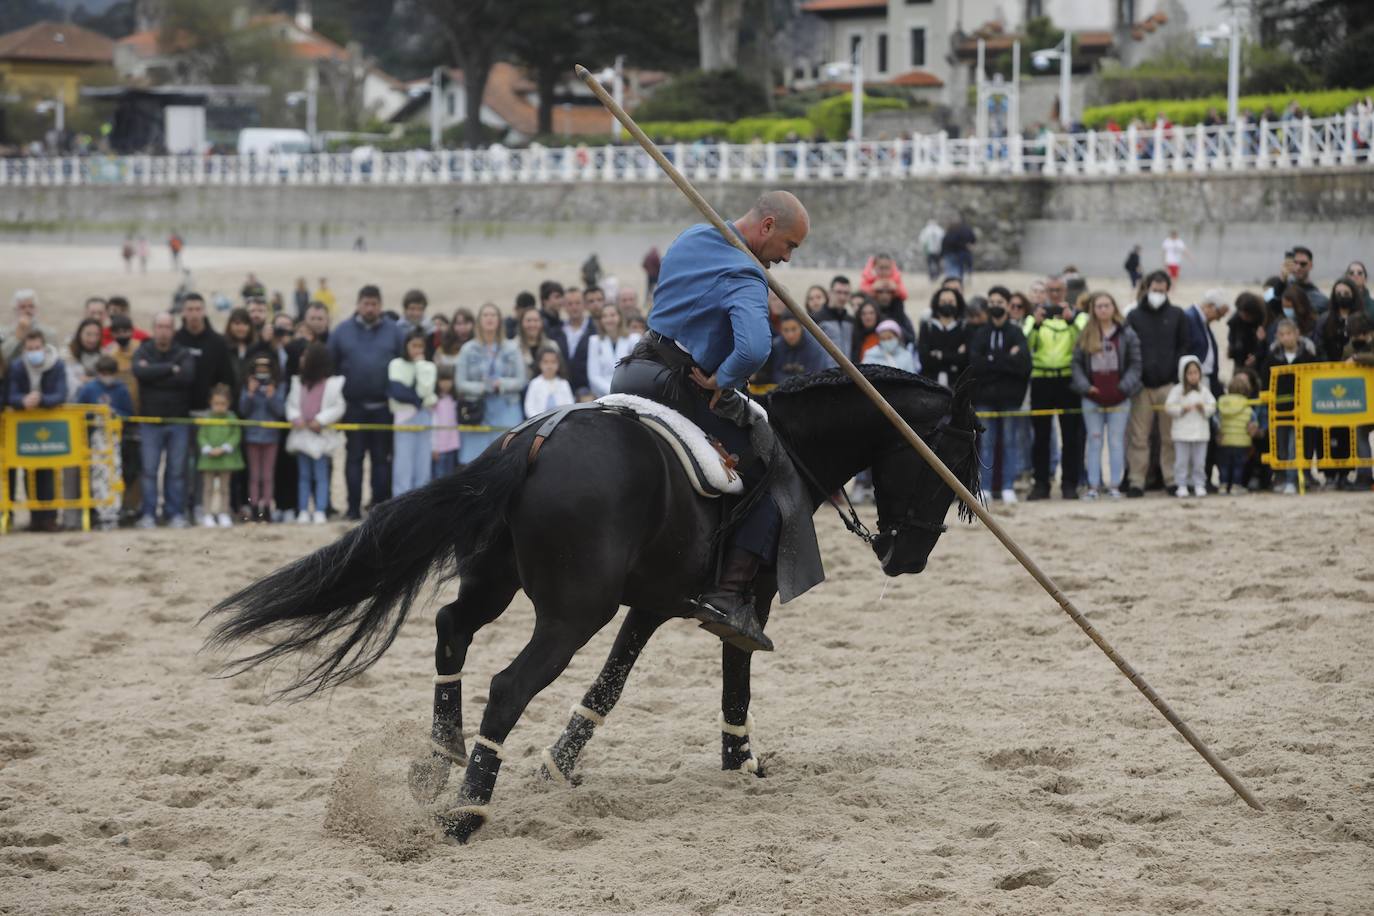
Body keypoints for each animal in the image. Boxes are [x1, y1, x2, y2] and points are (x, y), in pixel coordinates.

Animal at [203, 365, 983, 845]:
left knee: (452, 629)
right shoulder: (743, 603)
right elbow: (735, 675)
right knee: (508, 685)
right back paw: (467, 810)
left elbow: (611, 684)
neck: (788, 448)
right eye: (950, 466)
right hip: (571, 612)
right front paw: (740, 764)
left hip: (502, 582)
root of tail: (535, 442)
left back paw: (439, 760)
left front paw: (560, 765)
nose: (910, 557)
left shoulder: (652, 604)